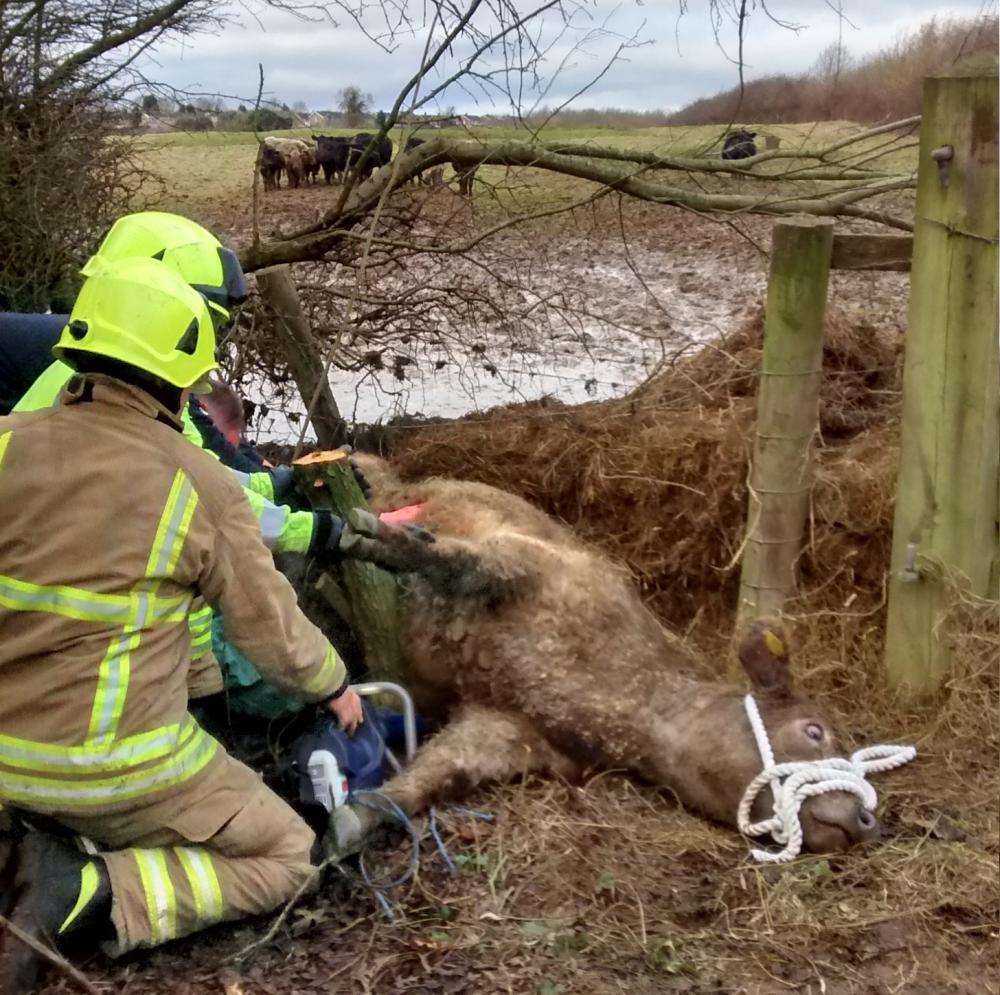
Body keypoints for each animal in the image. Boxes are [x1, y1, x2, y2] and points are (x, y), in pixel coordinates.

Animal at [327, 457, 884, 859]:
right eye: (815, 730)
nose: (868, 820)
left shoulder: (509, 730)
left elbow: (431, 777)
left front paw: (351, 822)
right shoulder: (523, 564)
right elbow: (448, 559)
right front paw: (368, 536)